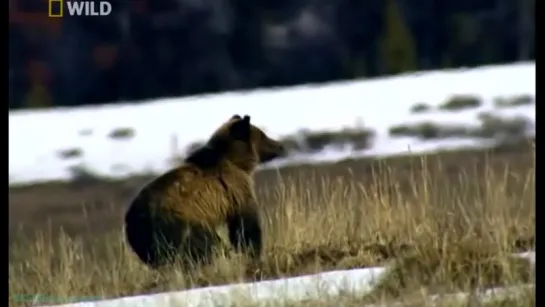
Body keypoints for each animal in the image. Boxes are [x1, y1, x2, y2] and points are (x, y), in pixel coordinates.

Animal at [123, 115, 284, 270]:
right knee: (204, 246)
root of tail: (135, 216)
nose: (280, 146)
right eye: (263, 135)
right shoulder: (235, 191)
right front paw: (252, 253)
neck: (235, 161)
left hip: (144, 238)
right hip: (181, 222)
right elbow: (245, 226)